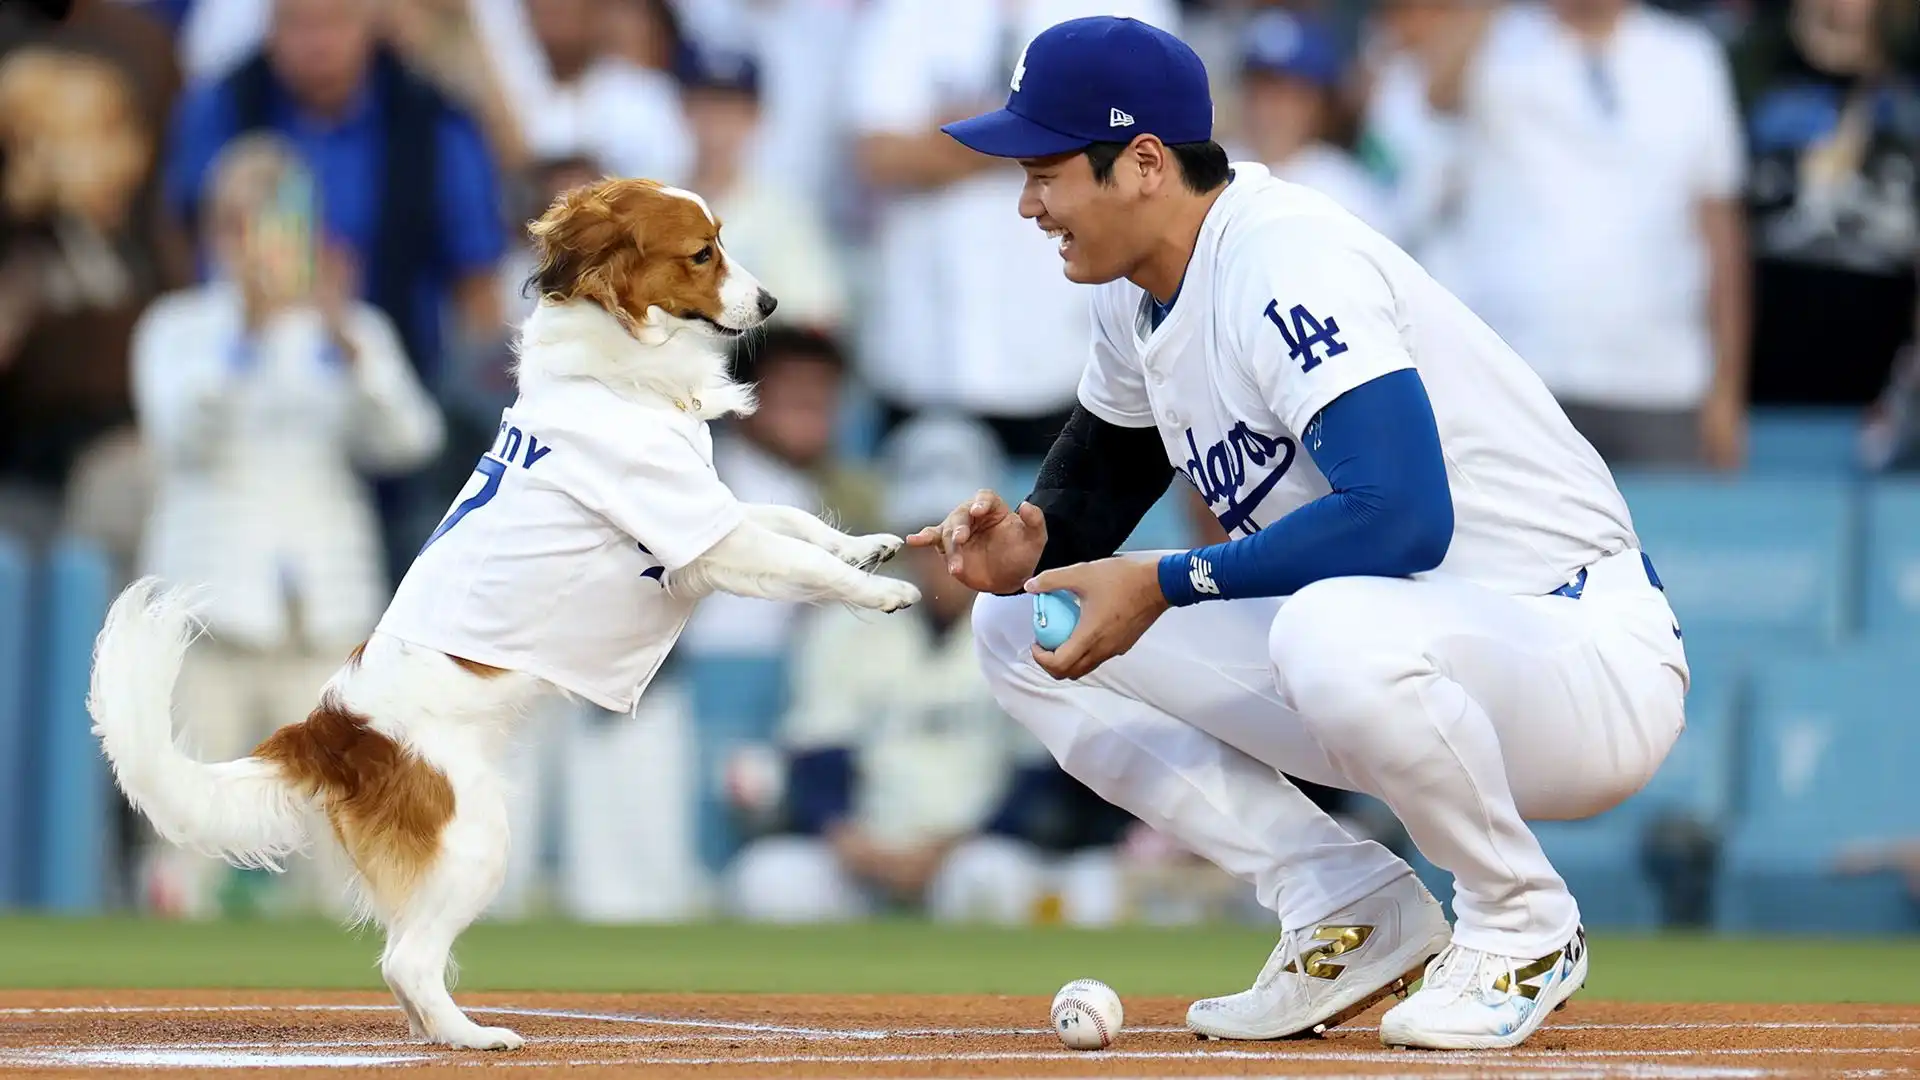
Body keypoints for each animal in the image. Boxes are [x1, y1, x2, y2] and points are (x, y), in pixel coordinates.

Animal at [88, 180, 921, 1045]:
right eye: (702, 253)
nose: (772, 303)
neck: (616, 370)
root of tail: (329, 729)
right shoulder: (701, 542)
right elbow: (797, 560)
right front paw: (880, 593)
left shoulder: (711, 512)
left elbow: (796, 521)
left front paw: (870, 547)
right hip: (476, 839)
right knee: (406, 960)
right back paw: (473, 1038)